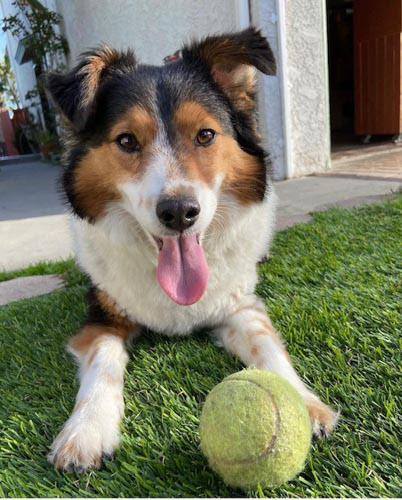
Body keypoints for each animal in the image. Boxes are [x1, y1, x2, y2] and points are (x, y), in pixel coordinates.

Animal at [46, 27, 338, 471]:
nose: (179, 212)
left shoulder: (240, 305)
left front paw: (305, 405)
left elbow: (267, 347)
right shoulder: (101, 317)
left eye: (205, 135)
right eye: (126, 141)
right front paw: (87, 431)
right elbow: (104, 361)